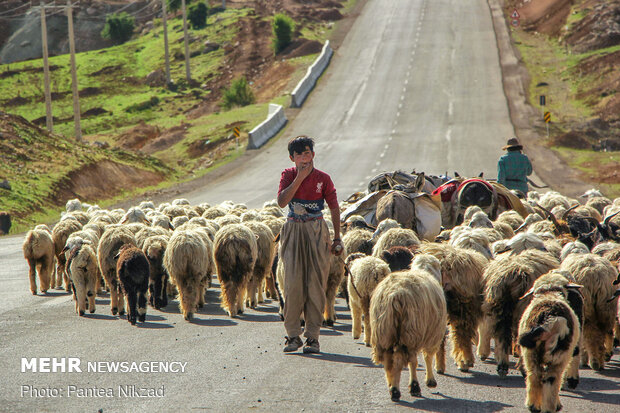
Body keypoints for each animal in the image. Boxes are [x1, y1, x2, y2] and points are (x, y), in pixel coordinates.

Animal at [370, 268, 448, 400]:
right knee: (401, 360)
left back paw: (392, 385)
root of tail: (393, 295)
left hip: (384, 332)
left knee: (388, 360)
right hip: (410, 331)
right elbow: (426, 358)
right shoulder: (431, 335)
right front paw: (428, 381)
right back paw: (399, 390)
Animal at [482, 246, 560, 374]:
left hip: (498, 305)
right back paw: (523, 367)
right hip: (523, 308)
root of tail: (517, 273)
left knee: (501, 334)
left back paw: (502, 366)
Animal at [520, 270, 580, 412]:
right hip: (559, 356)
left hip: (530, 353)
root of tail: (549, 318)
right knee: (552, 379)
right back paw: (551, 407)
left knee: (534, 375)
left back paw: (533, 406)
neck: (549, 293)